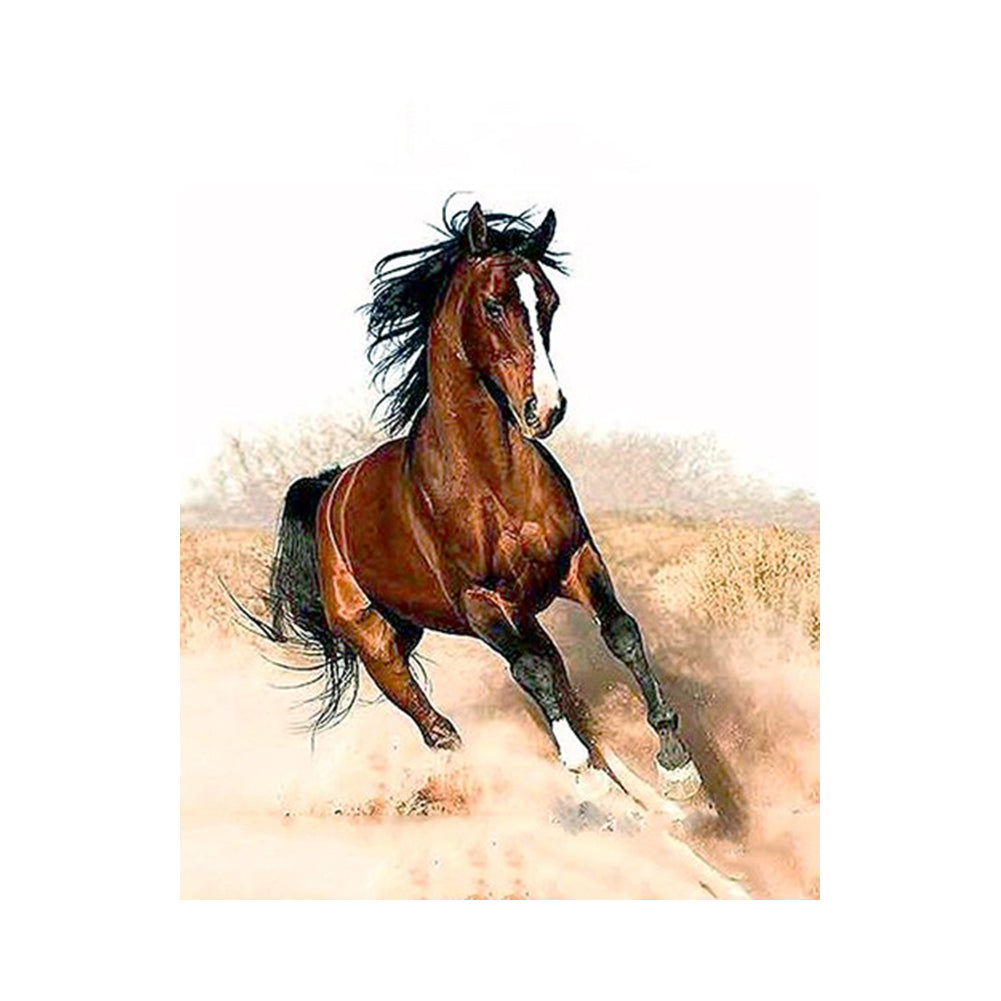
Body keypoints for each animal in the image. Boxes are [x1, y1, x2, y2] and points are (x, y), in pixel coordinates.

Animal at [241, 201, 702, 801]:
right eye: (493, 305)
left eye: (549, 301)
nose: (545, 409)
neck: (491, 480)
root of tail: (330, 491)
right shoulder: (479, 602)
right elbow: (531, 671)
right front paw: (582, 770)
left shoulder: (575, 561)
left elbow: (620, 633)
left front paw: (676, 764)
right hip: (378, 642)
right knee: (438, 726)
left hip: (489, 617)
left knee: (554, 676)